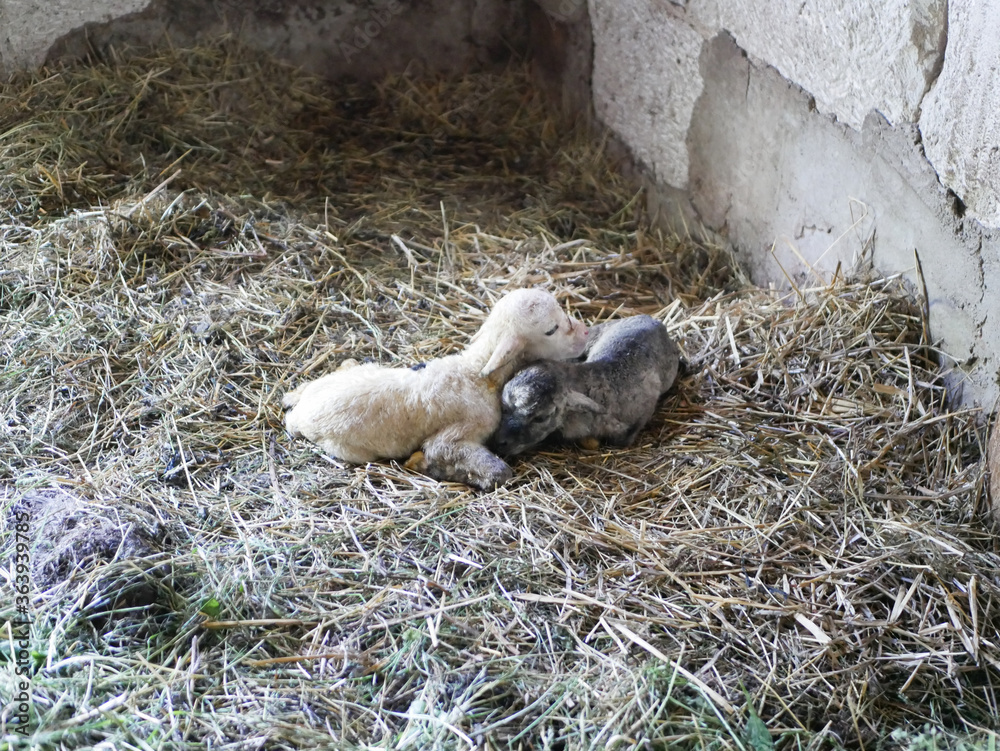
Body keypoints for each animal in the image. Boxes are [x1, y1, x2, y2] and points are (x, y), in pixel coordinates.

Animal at [282, 288, 589, 489]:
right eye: (551, 329)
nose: (586, 332)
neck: (475, 374)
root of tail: (299, 414)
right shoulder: (455, 435)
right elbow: (494, 471)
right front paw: (431, 467)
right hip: (348, 449)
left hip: (349, 371)